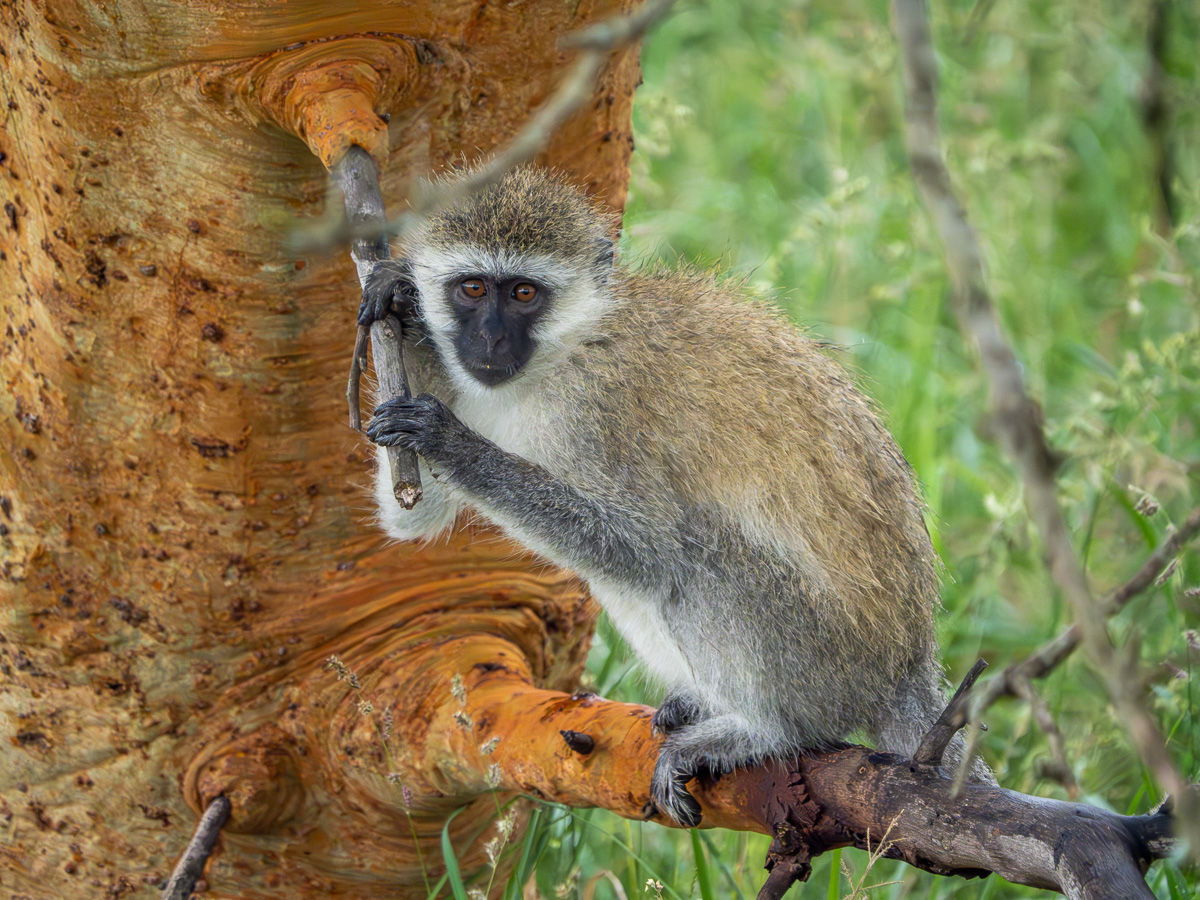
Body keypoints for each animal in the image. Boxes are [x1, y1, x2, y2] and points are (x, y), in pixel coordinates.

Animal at [360, 167, 987, 826]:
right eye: (473, 289)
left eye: (524, 294)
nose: (488, 341)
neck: (567, 350)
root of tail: (903, 669)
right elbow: (414, 511)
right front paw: (399, 305)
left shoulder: (600, 409)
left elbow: (641, 546)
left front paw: (452, 442)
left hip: (822, 658)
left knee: (696, 560)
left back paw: (770, 730)